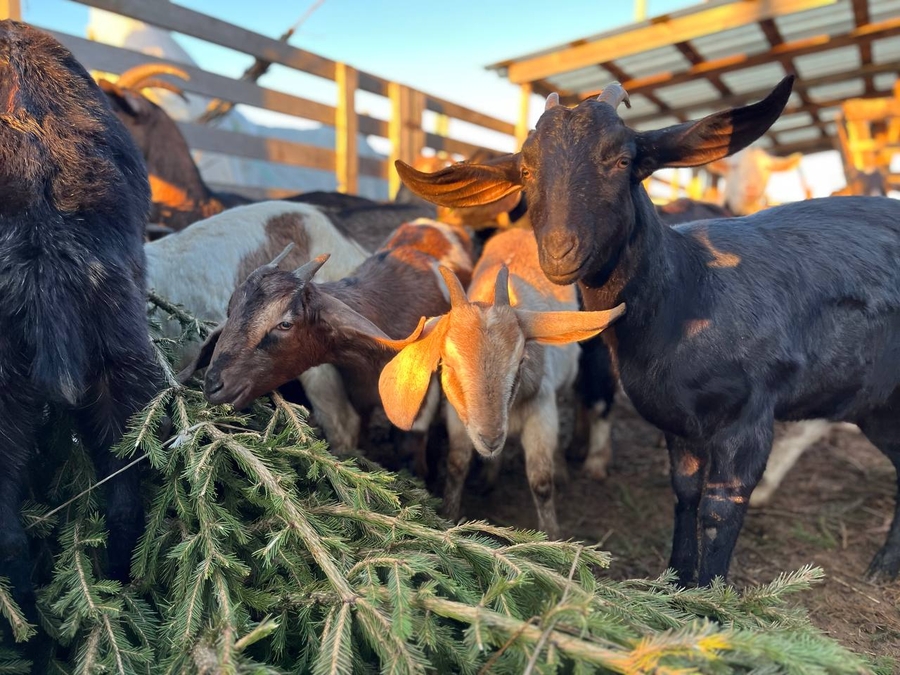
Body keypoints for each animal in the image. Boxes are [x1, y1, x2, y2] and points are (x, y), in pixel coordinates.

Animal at [376, 230, 624, 536]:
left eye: (520, 360)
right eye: (448, 363)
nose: (490, 439)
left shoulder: (541, 410)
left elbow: (541, 481)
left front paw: (551, 536)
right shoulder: (460, 416)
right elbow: (457, 464)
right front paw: (449, 516)